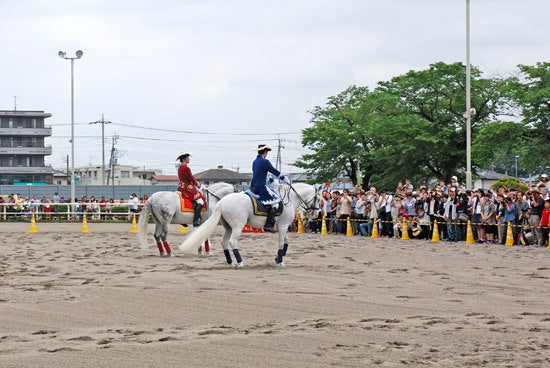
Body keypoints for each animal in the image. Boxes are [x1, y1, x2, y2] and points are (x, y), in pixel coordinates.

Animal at [179, 182, 322, 266]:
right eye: (319, 198)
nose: (316, 214)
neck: (289, 200)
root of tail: (222, 202)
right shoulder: (283, 226)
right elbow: (282, 243)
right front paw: (280, 261)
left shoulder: (282, 227)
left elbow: (286, 242)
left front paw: (278, 258)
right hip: (238, 226)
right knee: (232, 242)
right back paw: (240, 262)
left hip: (228, 227)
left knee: (224, 242)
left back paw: (230, 262)